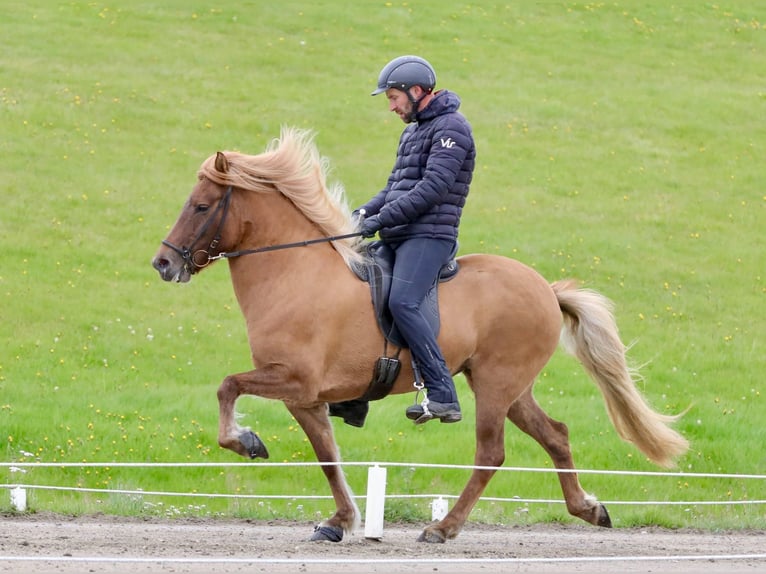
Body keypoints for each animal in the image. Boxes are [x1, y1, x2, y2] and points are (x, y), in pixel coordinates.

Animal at [153, 126, 692, 544]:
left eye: (200, 206)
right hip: (510, 388)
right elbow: (328, 457)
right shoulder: (305, 398)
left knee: (491, 454)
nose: (163, 264)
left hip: (495, 385)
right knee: (556, 436)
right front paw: (340, 521)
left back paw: (444, 527)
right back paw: (588, 508)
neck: (294, 273)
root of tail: (546, 288)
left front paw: (244, 441)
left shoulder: (293, 380)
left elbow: (228, 385)